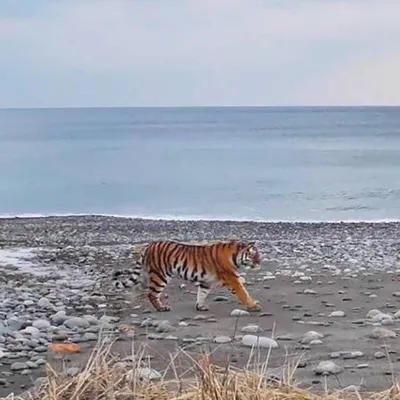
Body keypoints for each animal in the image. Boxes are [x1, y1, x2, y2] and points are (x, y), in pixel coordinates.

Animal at [112, 239, 262, 314]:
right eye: (253, 255)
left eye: (258, 254)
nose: (259, 262)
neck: (235, 256)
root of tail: (149, 245)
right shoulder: (232, 278)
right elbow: (243, 292)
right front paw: (253, 306)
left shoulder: (206, 282)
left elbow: (202, 293)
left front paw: (200, 306)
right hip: (160, 275)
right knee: (152, 293)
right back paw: (161, 308)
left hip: (145, 274)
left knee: (137, 287)